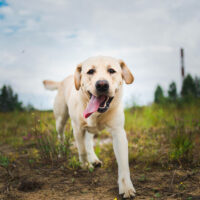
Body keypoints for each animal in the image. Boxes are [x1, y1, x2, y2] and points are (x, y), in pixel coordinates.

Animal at [42, 55, 135, 198]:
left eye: (111, 71)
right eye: (90, 71)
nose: (102, 84)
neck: (97, 113)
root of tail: (63, 80)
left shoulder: (118, 133)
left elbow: (123, 163)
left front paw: (126, 187)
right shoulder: (77, 128)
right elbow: (82, 150)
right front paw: (85, 166)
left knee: (89, 141)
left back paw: (94, 159)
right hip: (60, 119)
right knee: (61, 137)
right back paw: (61, 153)